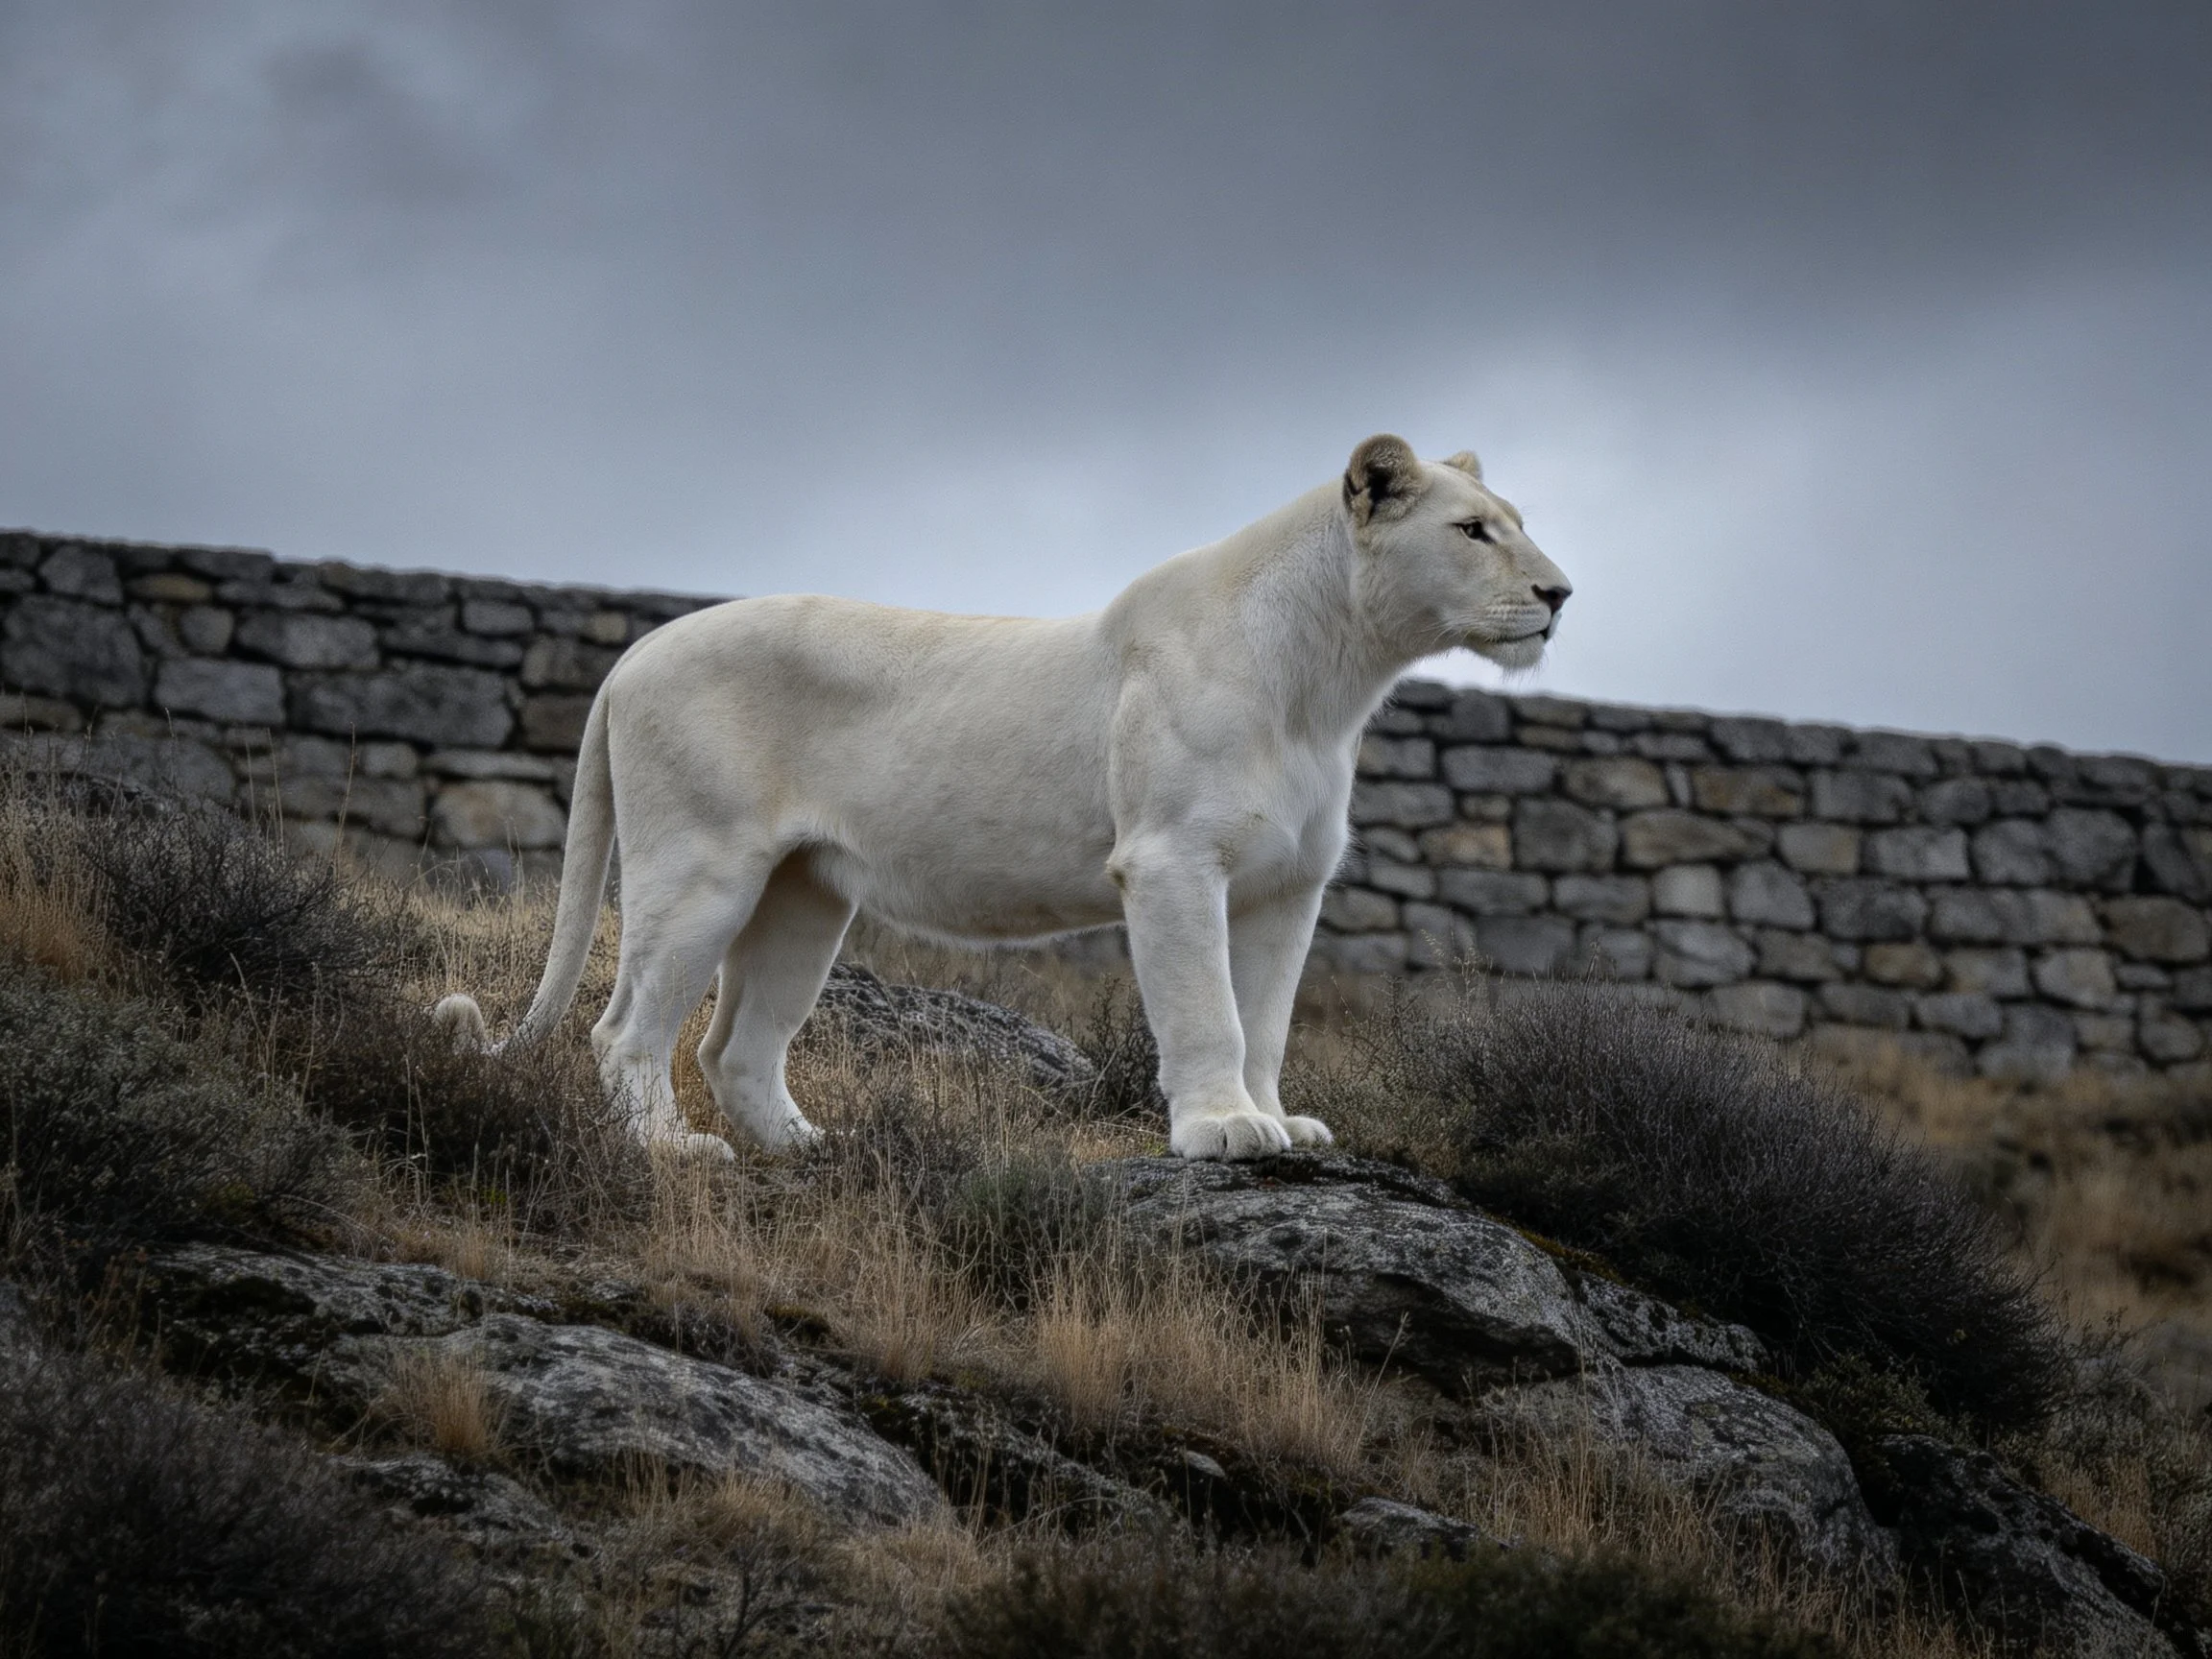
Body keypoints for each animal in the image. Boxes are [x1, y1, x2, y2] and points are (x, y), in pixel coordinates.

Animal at [434, 435, 1571, 1161]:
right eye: (1474, 531)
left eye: (1516, 524)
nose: (1560, 593)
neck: (1329, 683)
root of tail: (632, 655)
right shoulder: (1169, 860)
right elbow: (1208, 1011)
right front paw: (1221, 1132)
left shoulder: (1287, 886)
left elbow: (1270, 1020)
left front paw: (1280, 1124)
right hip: (700, 867)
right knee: (624, 1029)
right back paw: (672, 1151)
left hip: (805, 893)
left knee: (735, 1044)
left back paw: (812, 1151)